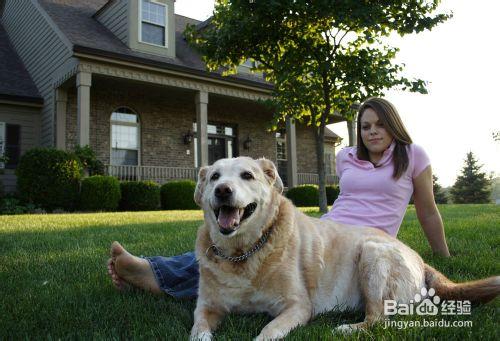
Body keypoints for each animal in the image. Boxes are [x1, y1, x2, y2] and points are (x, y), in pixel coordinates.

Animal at [189, 157, 498, 340]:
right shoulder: (206, 307)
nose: (223, 190)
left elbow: (267, 331)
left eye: (247, 175)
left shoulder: (297, 306)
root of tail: (420, 260)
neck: (242, 252)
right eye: (214, 177)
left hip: (373, 254)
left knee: (378, 319)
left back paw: (348, 328)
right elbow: (198, 331)